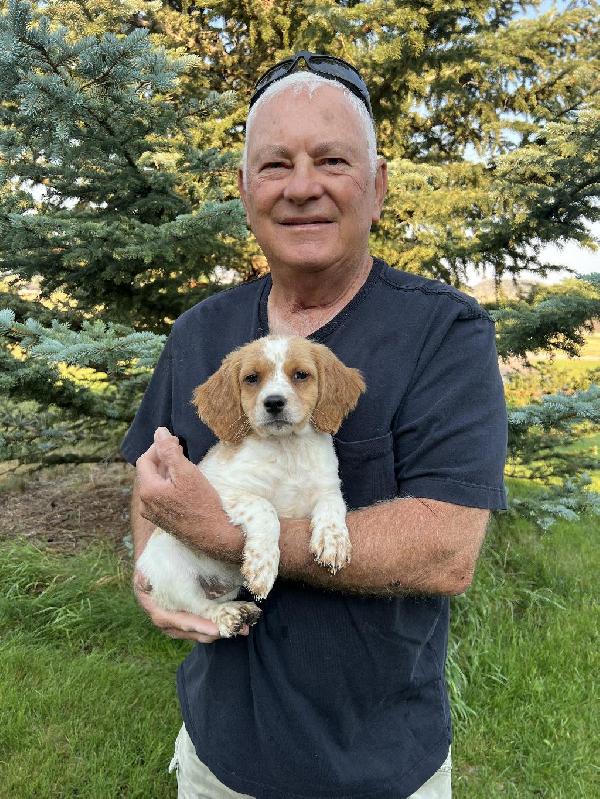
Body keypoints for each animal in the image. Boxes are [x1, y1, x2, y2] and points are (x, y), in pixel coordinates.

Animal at [137, 334, 366, 636]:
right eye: (252, 378)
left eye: (301, 375)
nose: (274, 402)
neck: (286, 448)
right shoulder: (223, 489)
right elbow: (264, 508)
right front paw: (262, 566)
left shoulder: (327, 485)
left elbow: (333, 506)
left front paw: (333, 541)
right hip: (173, 571)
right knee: (197, 607)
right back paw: (230, 615)